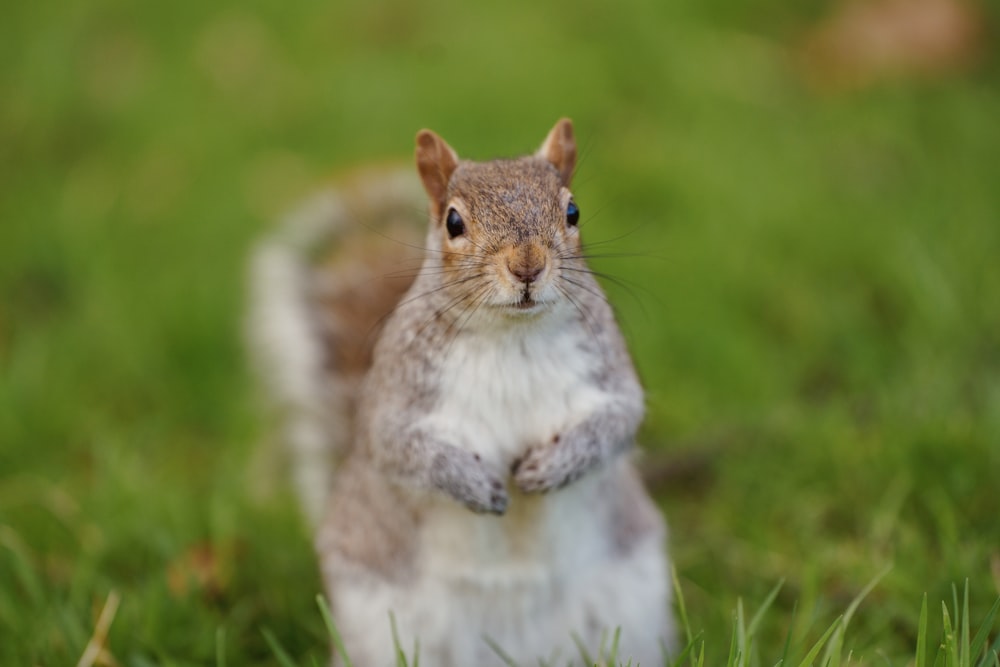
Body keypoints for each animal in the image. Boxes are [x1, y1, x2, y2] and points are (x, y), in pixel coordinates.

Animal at [246, 120, 676, 667]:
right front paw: (474, 484)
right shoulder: (397, 397)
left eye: (573, 211)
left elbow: (619, 420)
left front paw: (552, 467)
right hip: (380, 624)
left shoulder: (609, 374)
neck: (513, 335)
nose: (527, 266)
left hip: (631, 602)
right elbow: (400, 447)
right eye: (453, 222)